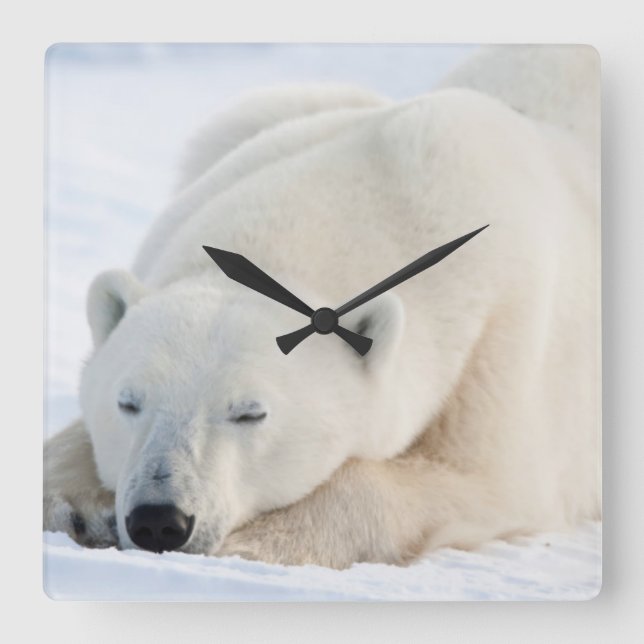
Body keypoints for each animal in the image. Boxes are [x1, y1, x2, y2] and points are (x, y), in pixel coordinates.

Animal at [44, 45, 600, 569]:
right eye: (127, 402)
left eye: (251, 413)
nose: (160, 519)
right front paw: (70, 506)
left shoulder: (504, 338)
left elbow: (485, 481)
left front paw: (256, 543)